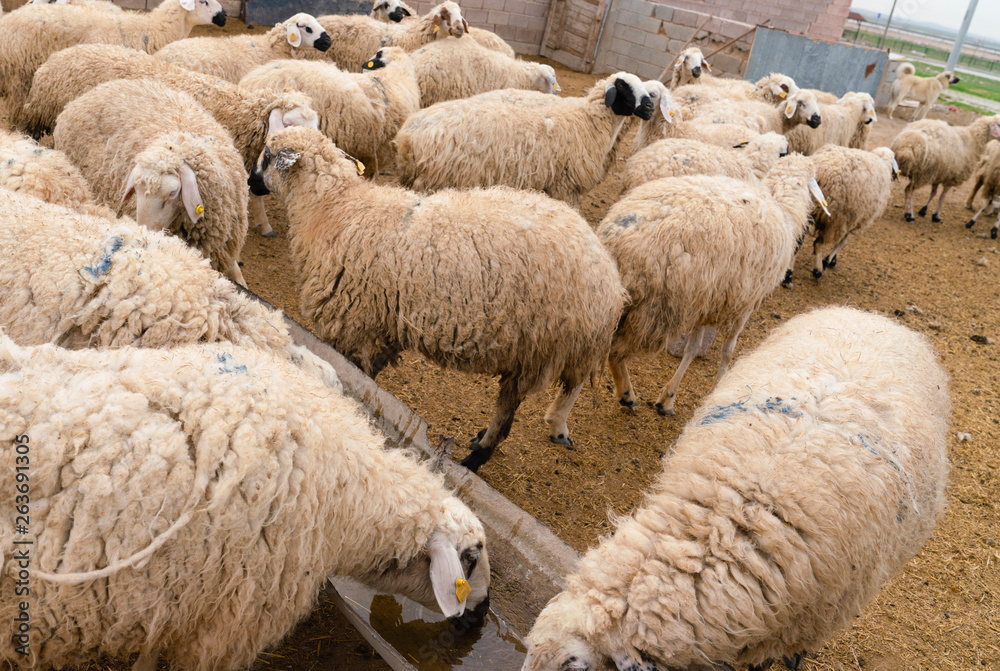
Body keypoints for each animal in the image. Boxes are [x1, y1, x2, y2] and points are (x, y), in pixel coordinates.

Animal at [248, 125, 627, 472]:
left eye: (267, 156)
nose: (250, 182)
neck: (334, 207)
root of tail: (608, 278)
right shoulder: (386, 324)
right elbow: (373, 374)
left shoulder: (353, 322)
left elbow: (356, 377)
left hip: (540, 345)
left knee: (511, 410)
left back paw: (480, 455)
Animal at [395, 72, 655, 205]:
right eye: (621, 86)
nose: (650, 107)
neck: (586, 121)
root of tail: (409, 134)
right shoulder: (564, 186)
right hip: (435, 179)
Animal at [597, 154, 827, 416]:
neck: (783, 207)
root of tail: (617, 235)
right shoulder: (746, 302)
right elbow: (728, 348)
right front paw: (721, 384)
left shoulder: (707, 300)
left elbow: (693, 348)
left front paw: (667, 398)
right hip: (654, 308)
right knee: (614, 350)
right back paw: (626, 394)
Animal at [808, 145, 898, 280]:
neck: (883, 161)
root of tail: (822, 171)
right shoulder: (852, 219)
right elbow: (842, 242)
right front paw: (828, 260)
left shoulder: (850, 220)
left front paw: (832, 260)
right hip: (833, 219)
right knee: (817, 244)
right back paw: (818, 270)